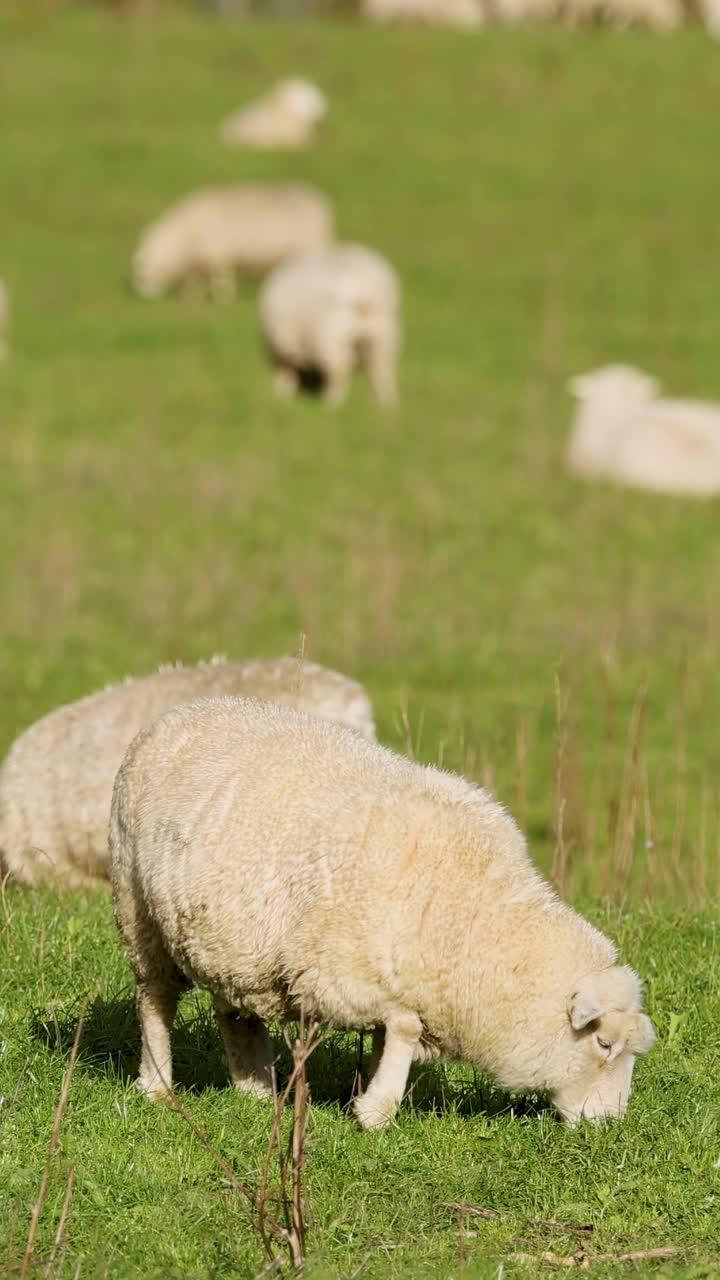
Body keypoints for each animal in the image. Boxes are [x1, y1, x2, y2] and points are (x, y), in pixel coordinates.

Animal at [110, 697, 655, 1128]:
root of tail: (180, 710)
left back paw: (255, 1088)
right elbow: (404, 1029)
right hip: (139, 915)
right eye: (604, 1045)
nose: (609, 1125)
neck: (473, 924)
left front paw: (369, 1091)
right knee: (155, 1000)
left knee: (234, 1011)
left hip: (234, 944)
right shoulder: (351, 974)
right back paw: (157, 1084)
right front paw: (377, 1111)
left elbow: (386, 1037)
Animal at [132, 184, 334, 300]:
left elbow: (221, 278)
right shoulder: (197, 261)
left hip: (311, 246)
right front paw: (191, 298)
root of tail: (318, 203)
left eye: (142, 273)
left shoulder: (219, 256)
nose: (143, 296)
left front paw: (223, 299)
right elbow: (195, 281)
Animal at [258, 243, 400, 406]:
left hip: (332, 338)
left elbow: (284, 374)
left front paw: (281, 395)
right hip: (383, 336)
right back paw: (386, 404)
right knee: (382, 369)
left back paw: (332, 402)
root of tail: (365, 290)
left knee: (340, 369)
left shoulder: (277, 351)